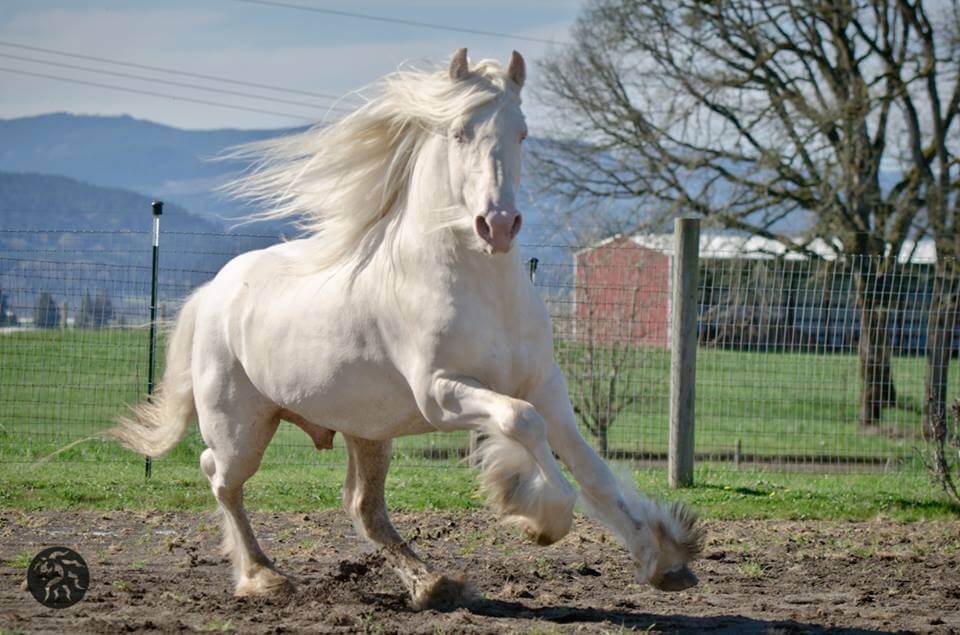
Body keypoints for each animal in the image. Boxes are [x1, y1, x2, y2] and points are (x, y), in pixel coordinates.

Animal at [112, 48, 700, 608]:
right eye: (460, 132)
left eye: (522, 132)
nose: (498, 225)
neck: (482, 288)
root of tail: (213, 291)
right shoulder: (442, 393)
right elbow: (522, 424)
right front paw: (533, 512)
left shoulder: (545, 385)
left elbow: (591, 469)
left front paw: (664, 559)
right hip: (242, 429)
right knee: (220, 477)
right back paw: (263, 577)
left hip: (367, 431)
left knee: (362, 507)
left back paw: (433, 585)